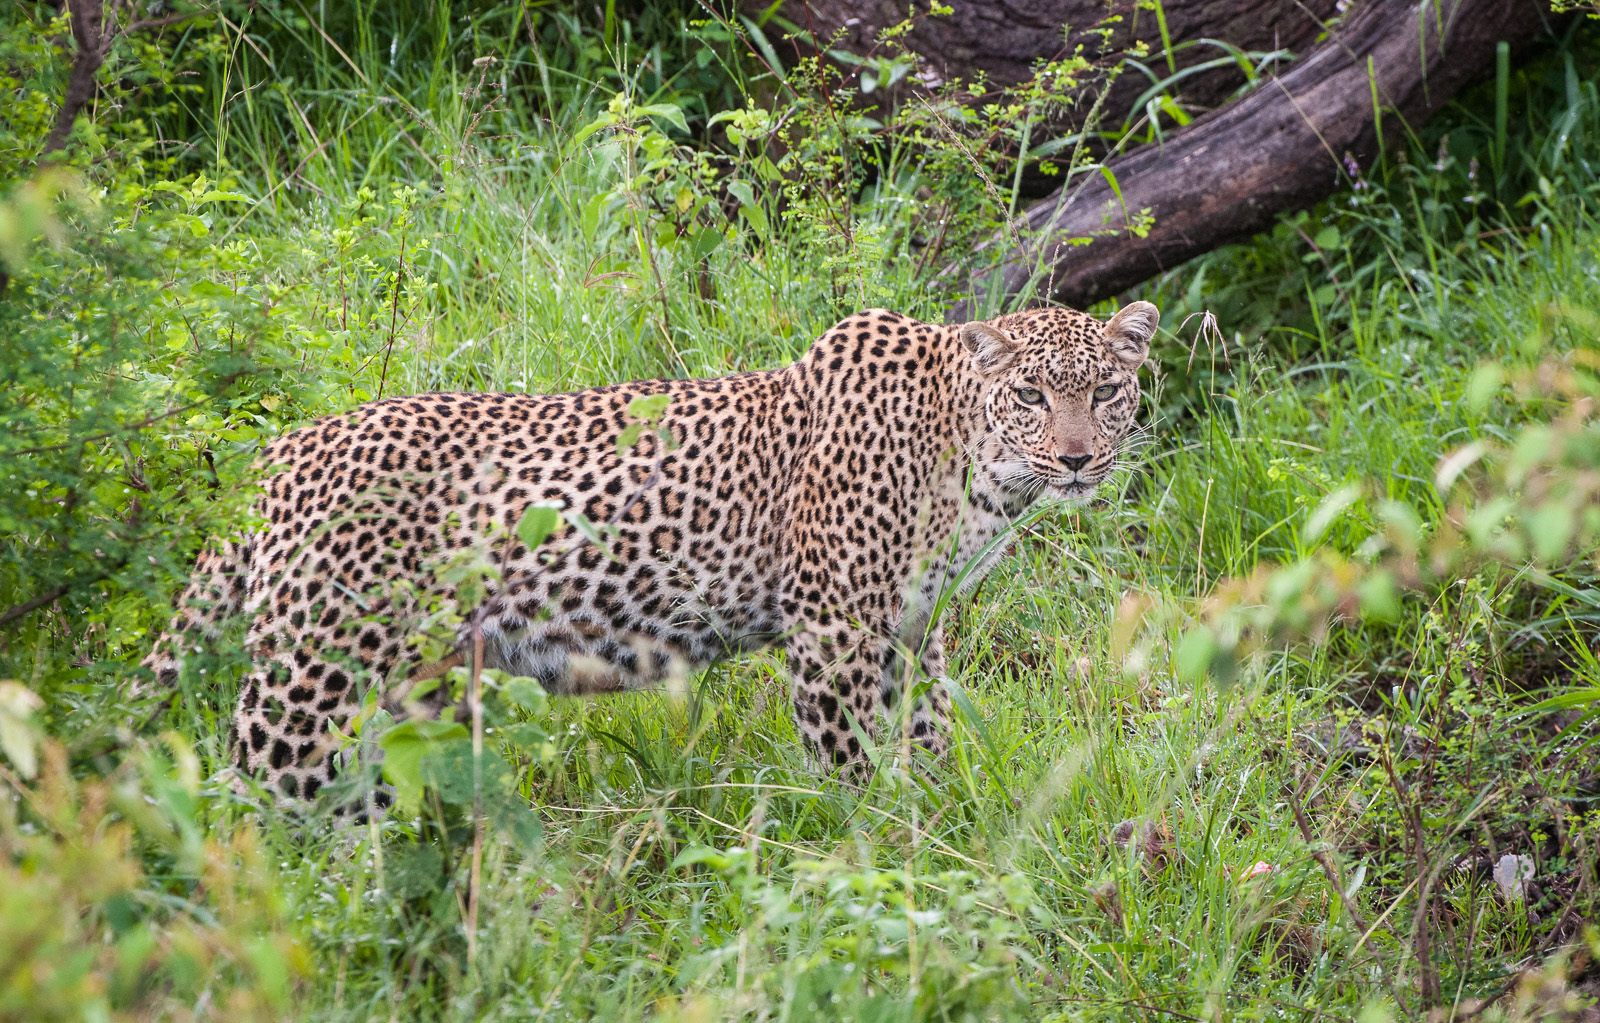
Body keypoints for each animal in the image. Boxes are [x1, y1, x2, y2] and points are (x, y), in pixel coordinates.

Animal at [144, 302, 1158, 800]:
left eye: (1108, 391)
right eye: (1030, 394)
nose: (1078, 457)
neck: (978, 471)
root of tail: (278, 450)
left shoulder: (911, 628)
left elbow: (930, 736)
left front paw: (945, 830)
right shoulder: (833, 631)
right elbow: (851, 769)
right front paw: (872, 858)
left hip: (406, 690)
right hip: (310, 678)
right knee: (242, 806)